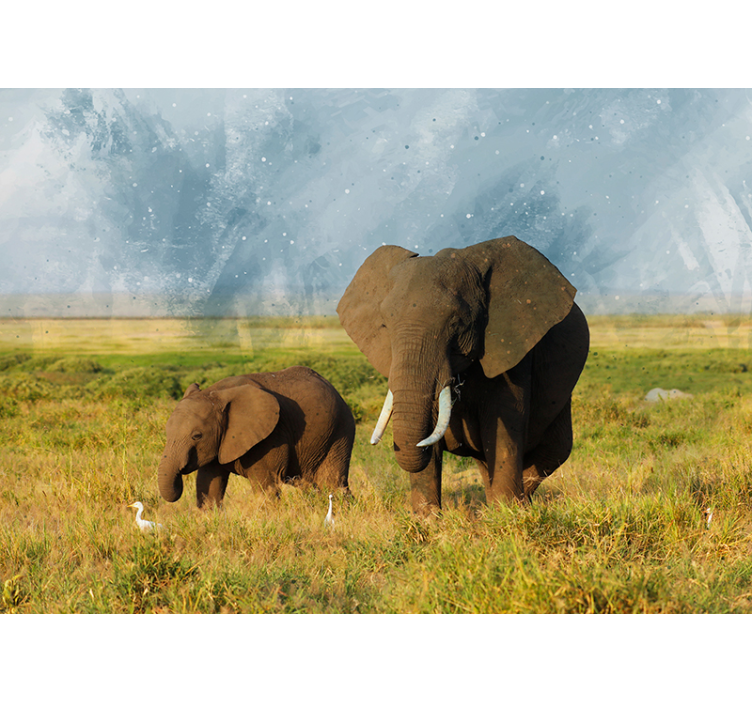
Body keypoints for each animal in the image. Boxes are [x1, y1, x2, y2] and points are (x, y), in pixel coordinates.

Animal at [157, 366, 355, 508]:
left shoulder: (271, 436)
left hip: (340, 431)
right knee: (311, 486)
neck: (215, 394)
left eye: (197, 436)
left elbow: (266, 489)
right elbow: (209, 487)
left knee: (332, 483)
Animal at [337, 235, 589, 514]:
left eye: (456, 324)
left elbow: (504, 429)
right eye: (385, 325)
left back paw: (518, 504)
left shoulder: (513, 348)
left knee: (553, 451)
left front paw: (505, 515)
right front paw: (426, 520)